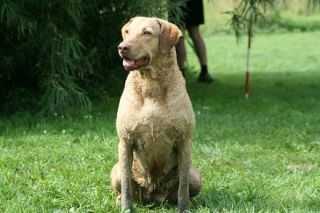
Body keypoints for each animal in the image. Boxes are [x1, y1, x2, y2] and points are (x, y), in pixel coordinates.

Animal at [110, 17, 200, 213]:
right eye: (127, 32)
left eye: (147, 33)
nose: (122, 47)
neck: (151, 84)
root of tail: (154, 195)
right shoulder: (126, 140)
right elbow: (126, 185)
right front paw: (126, 208)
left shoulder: (184, 140)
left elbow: (183, 186)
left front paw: (184, 208)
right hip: (116, 170)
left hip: (196, 176)